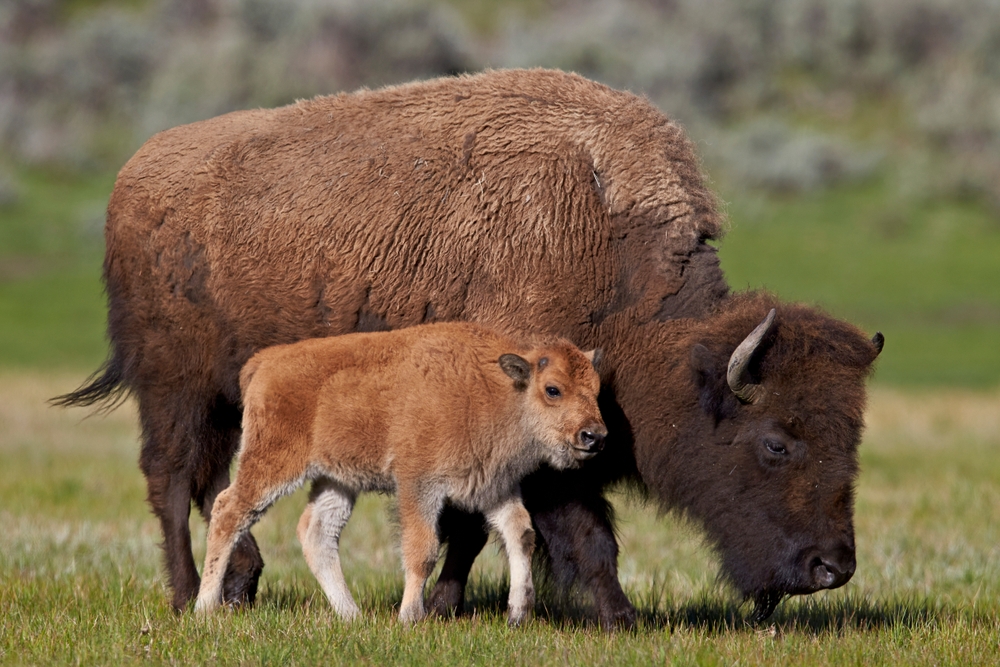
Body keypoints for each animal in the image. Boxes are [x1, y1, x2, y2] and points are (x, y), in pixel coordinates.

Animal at [56, 68, 882, 624]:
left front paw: (448, 605)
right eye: (776, 441)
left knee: (210, 481)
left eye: (853, 440)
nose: (831, 566)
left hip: (231, 398)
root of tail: (134, 178)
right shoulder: (546, 441)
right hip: (176, 387)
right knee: (171, 479)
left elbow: (468, 526)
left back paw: (240, 584)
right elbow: (580, 531)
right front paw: (621, 617)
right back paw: (185, 594)